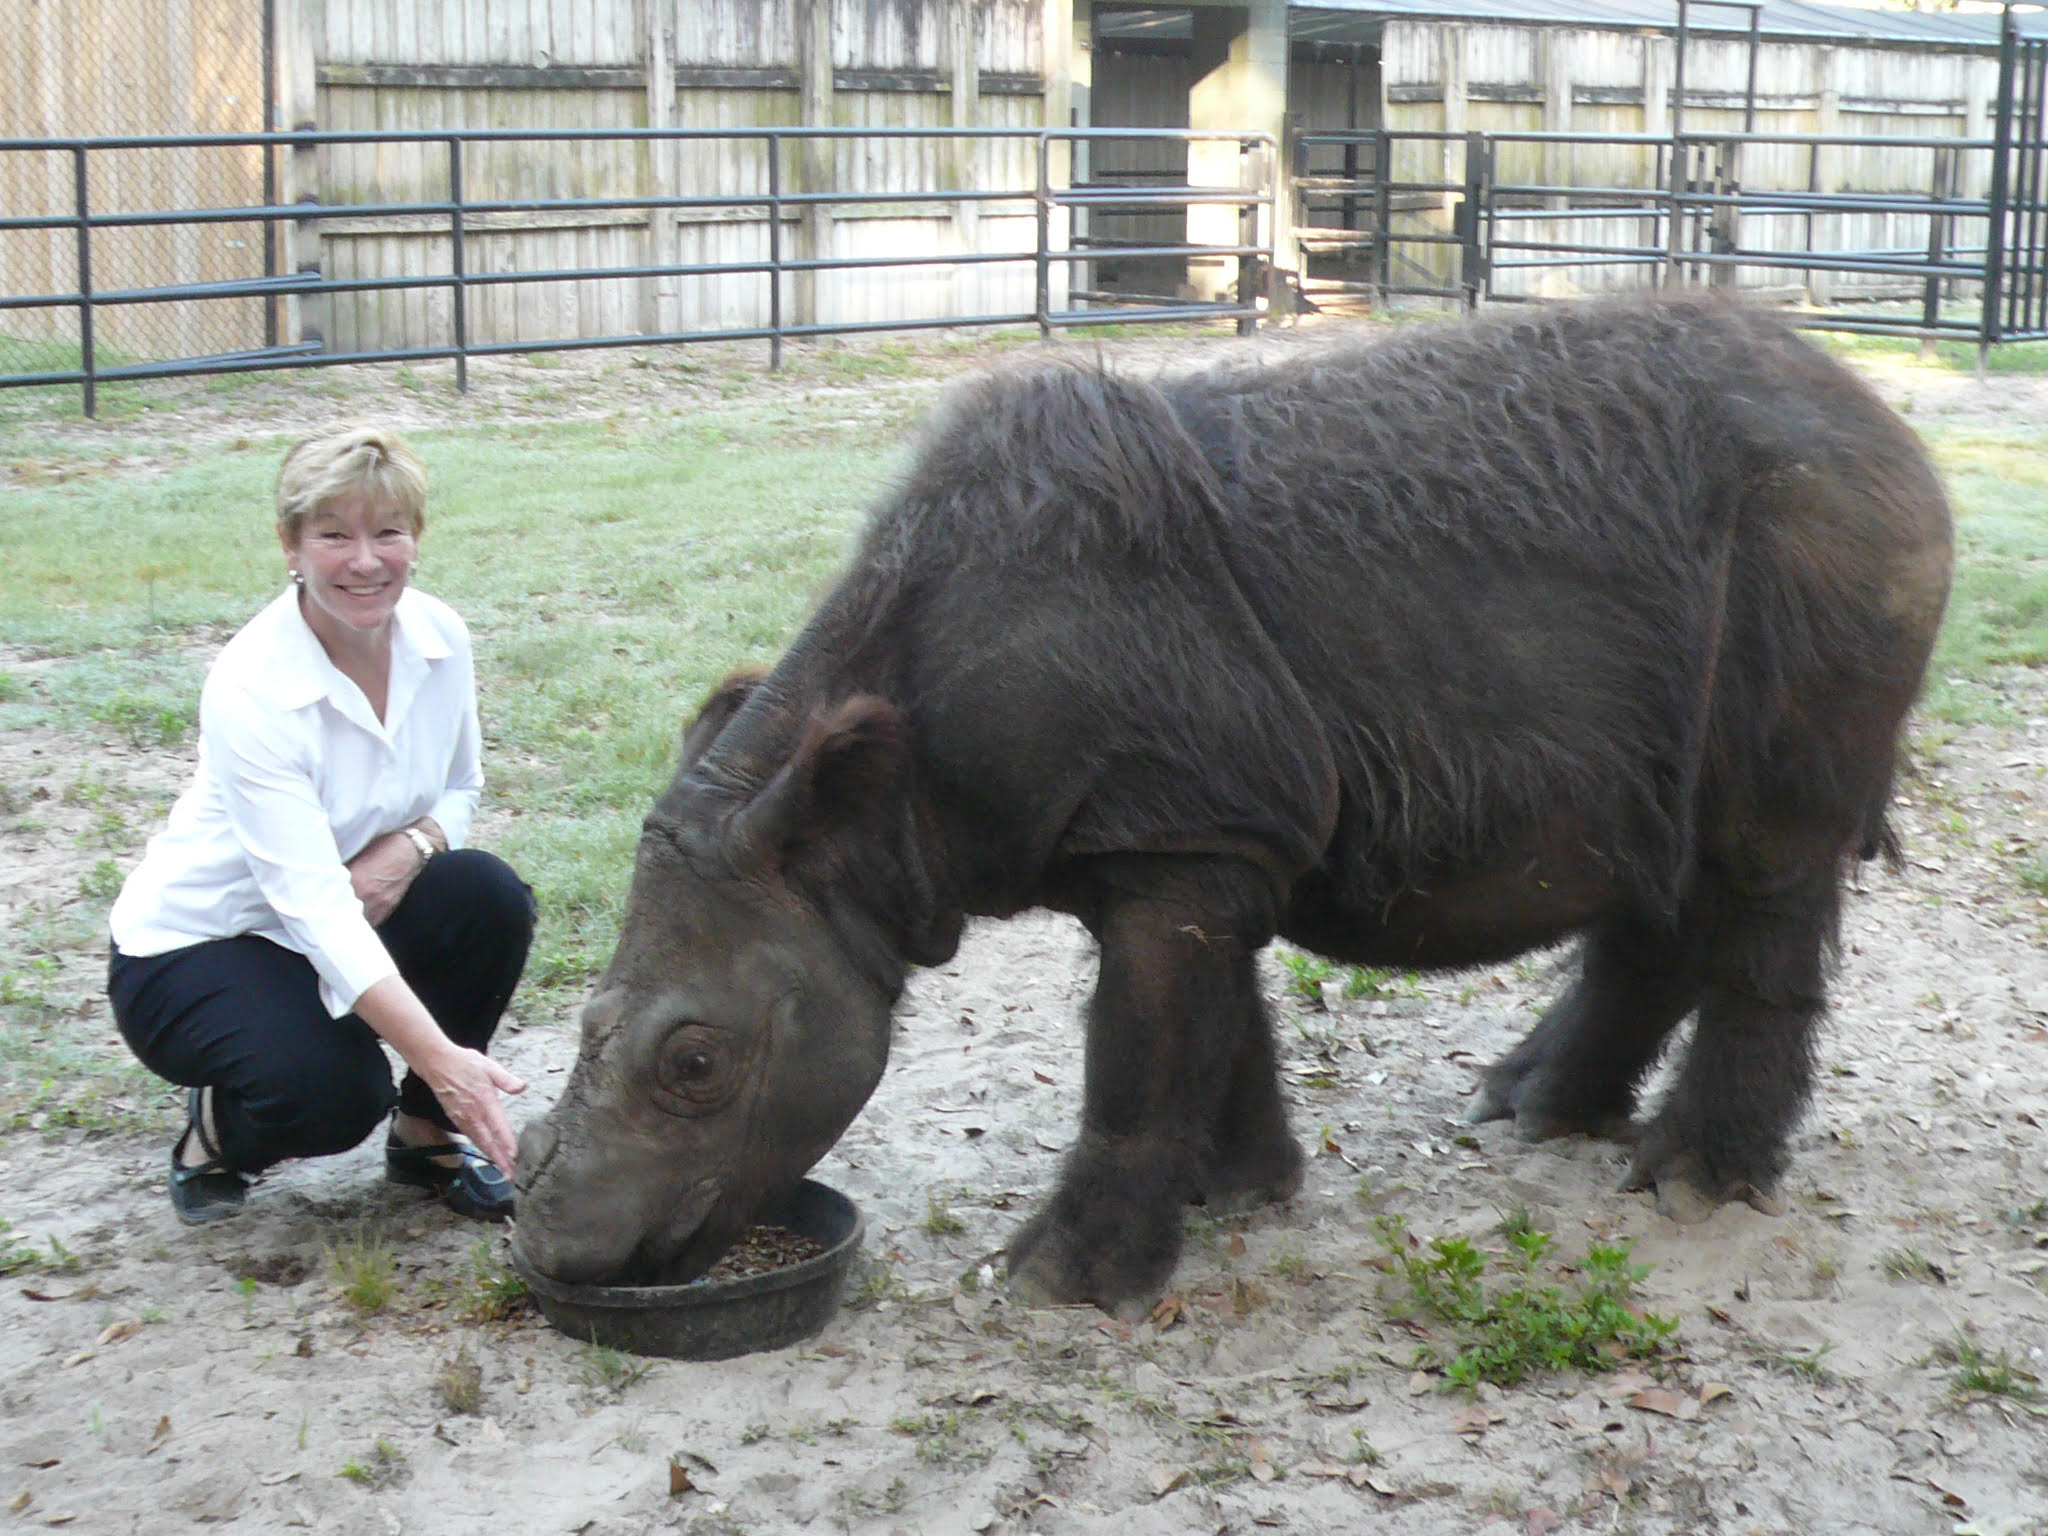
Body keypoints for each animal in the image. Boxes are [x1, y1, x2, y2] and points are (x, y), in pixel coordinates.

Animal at [507, 290, 1949, 1310]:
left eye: (695, 1064)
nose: (559, 1245)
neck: (868, 802)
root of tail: (1894, 425)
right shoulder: (1196, 826)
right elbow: (1207, 1020)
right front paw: (1241, 1194)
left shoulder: (1182, 836)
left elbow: (1139, 1045)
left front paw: (1057, 1285)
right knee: (1670, 843)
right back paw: (1531, 1111)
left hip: (1820, 540)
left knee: (1762, 851)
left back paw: (1691, 1187)